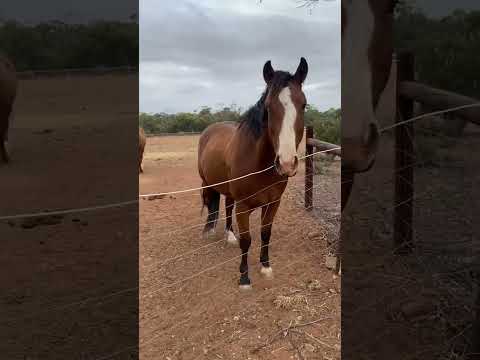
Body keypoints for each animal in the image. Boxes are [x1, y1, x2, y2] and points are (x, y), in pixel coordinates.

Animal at [198, 59, 308, 290]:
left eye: (304, 105)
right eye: (268, 107)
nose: (286, 163)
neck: (260, 165)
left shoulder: (273, 202)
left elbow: (265, 232)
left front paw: (265, 266)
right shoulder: (244, 206)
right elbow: (247, 240)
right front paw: (244, 277)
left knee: (227, 206)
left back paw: (229, 235)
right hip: (206, 183)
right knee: (211, 203)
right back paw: (209, 231)